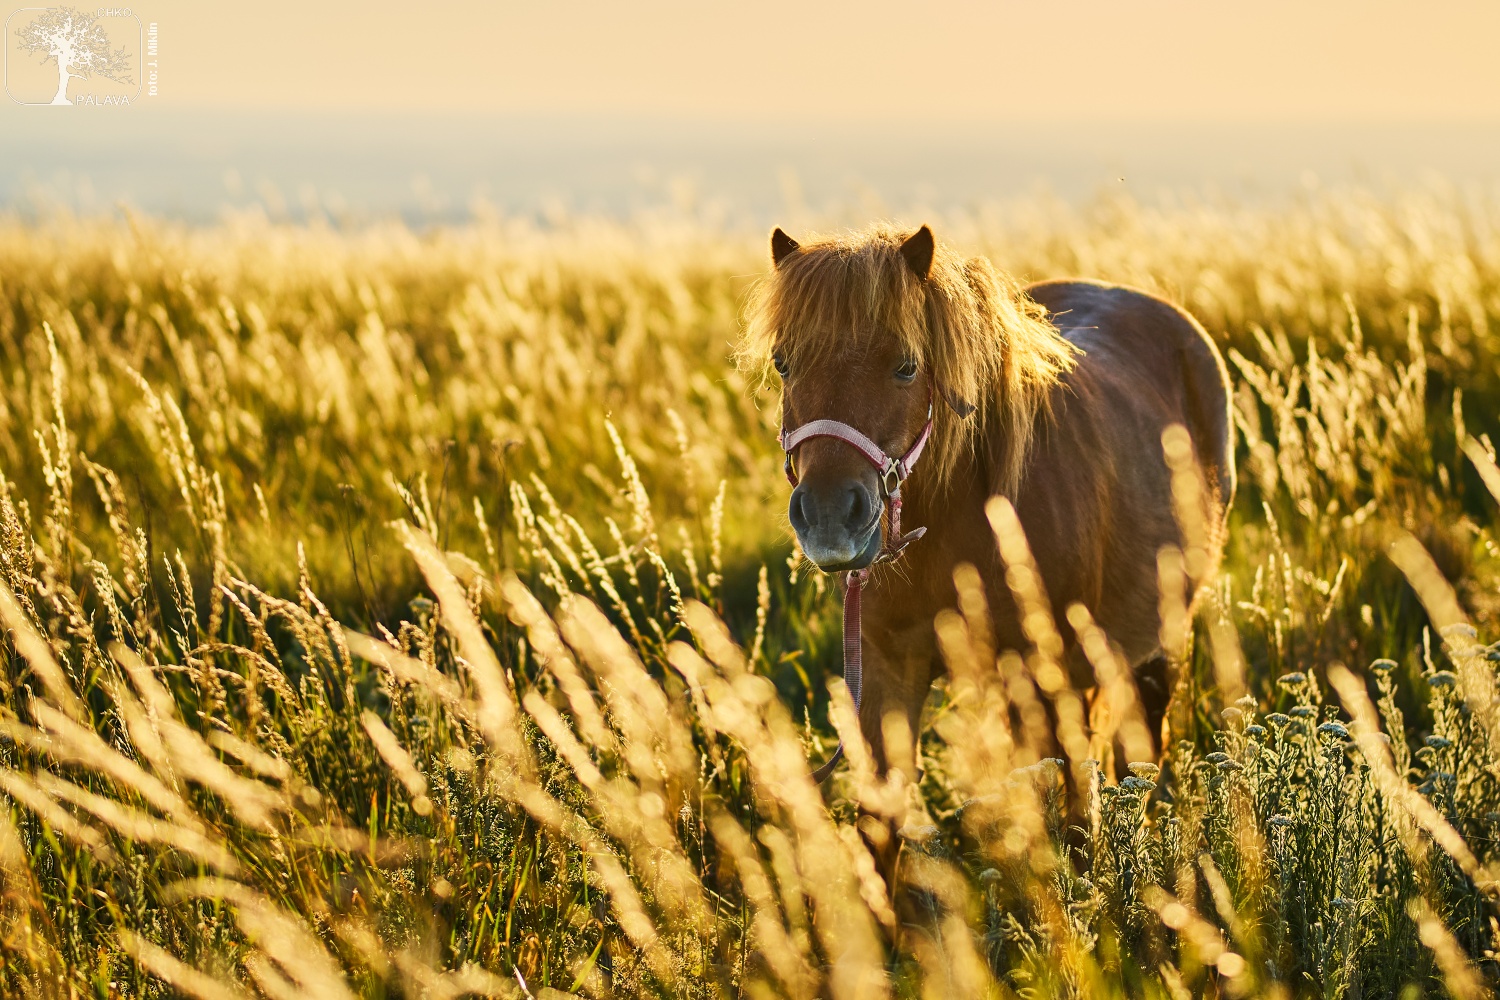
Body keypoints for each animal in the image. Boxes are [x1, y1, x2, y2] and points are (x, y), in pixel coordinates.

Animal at [744, 224, 1236, 845]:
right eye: (784, 364)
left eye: (906, 366)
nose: (831, 516)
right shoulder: (889, 675)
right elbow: (879, 827)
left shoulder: (1053, 680)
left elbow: (1077, 822)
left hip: (1159, 639)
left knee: (1141, 752)